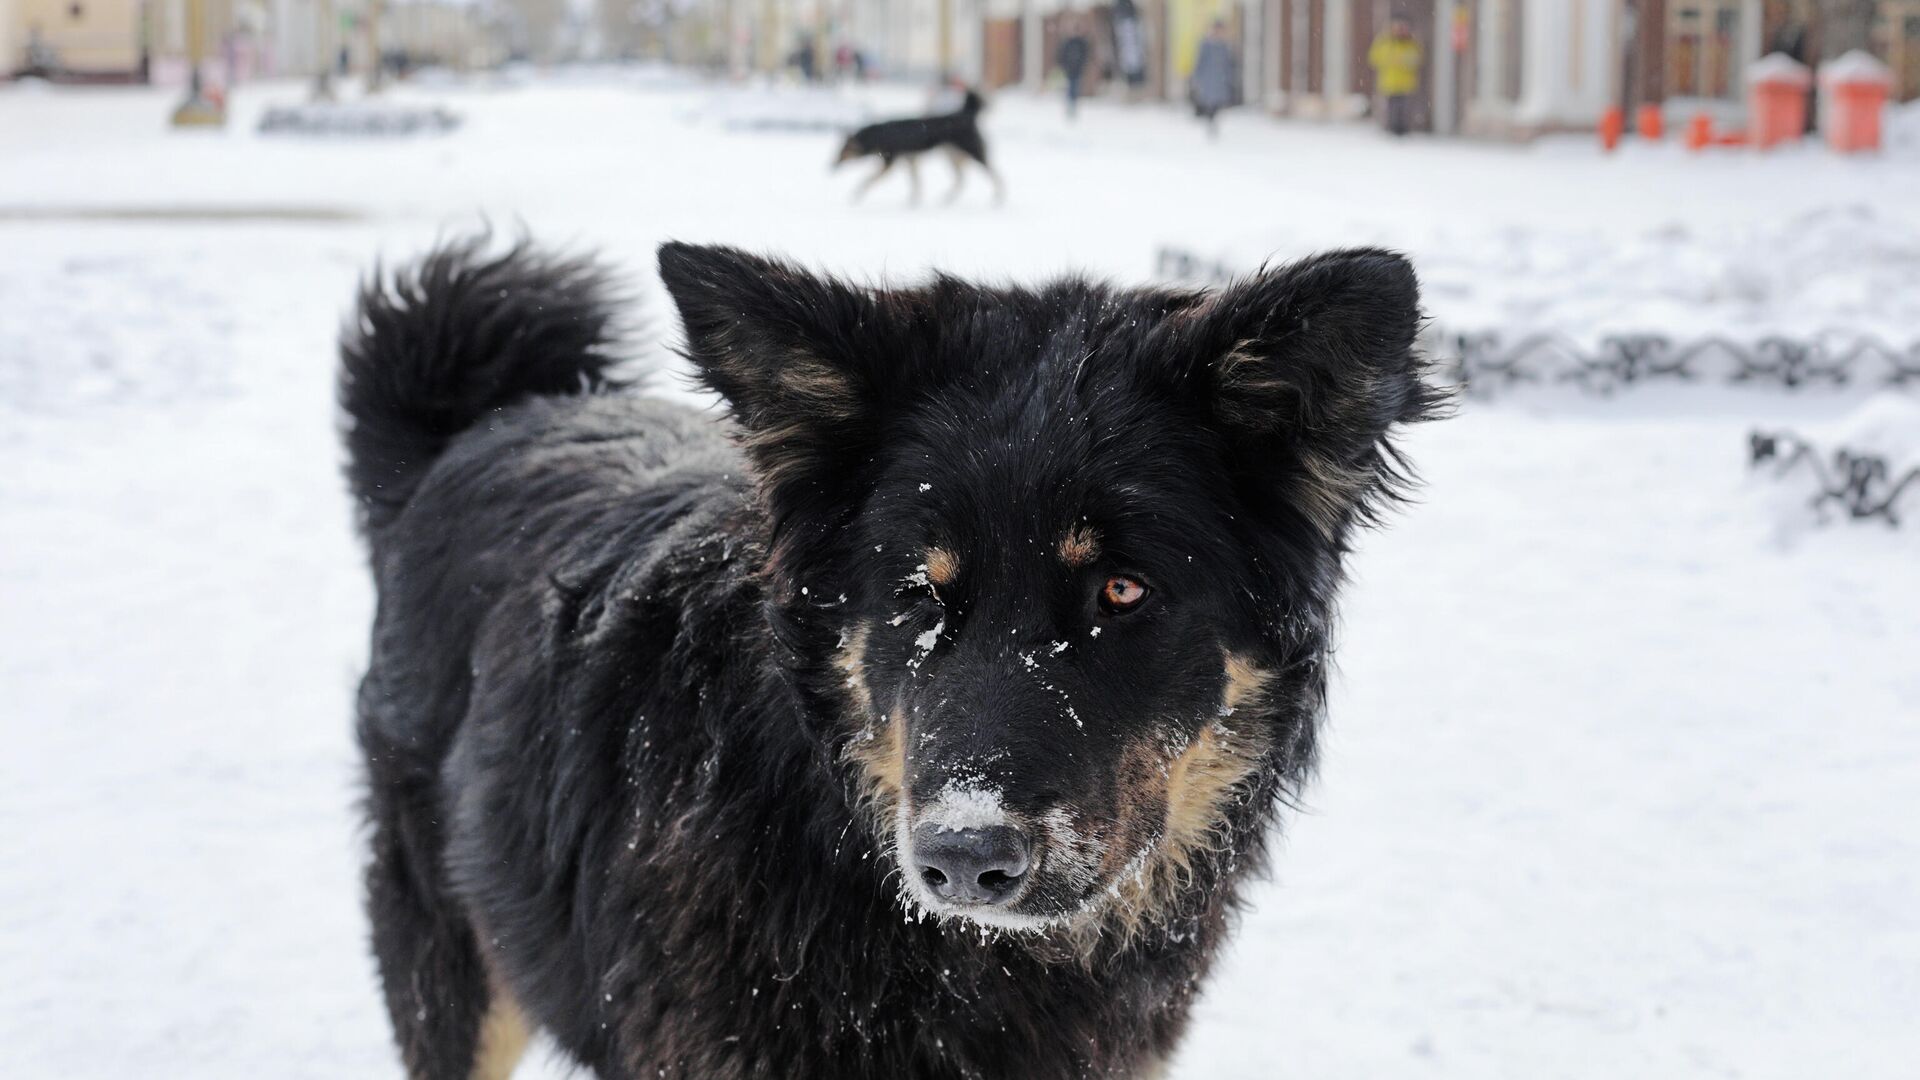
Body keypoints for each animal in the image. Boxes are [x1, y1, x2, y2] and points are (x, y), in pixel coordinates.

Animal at [833, 87, 1006, 203]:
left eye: (842, 152)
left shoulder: (891, 162)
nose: (830, 166)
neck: (876, 136)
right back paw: (948, 198)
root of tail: (966, 114)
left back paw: (998, 197)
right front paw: (913, 201)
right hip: (952, 157)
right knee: (961, 180)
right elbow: (916, 183)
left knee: (994, 174)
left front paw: (858, 193)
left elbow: (869, 180)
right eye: (837, 152)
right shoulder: (909, 162)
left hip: (973, 153)